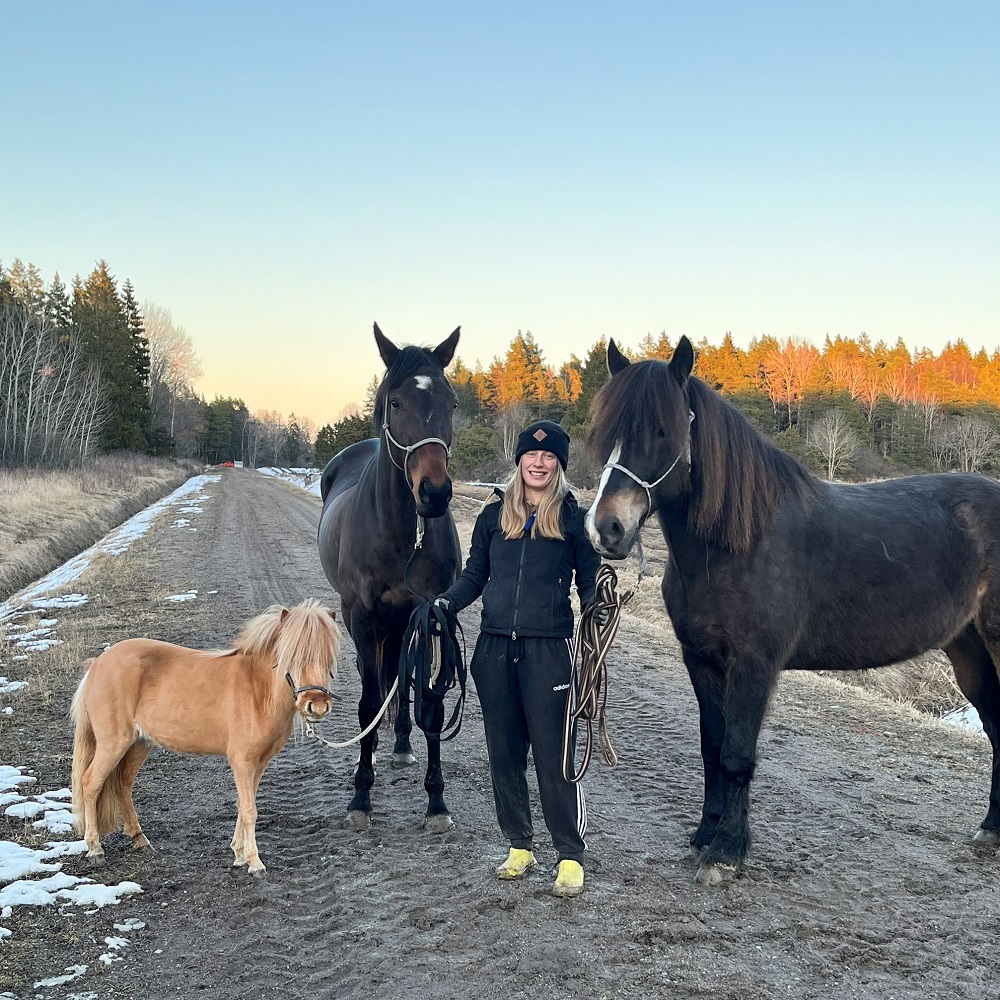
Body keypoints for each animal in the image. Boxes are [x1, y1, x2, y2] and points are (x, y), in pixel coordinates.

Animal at [71, 596, 340, 872]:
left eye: (329, 656)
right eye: (293, 655)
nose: (317, 706)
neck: (258, 689)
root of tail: (97, 664)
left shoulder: (260, 762)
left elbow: (244, 806)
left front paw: (239, 853)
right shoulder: (242, 761)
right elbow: (250, 809)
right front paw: (254, 863)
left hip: (139, 744)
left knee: (123, 784)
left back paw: (139, 839)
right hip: (113, 743)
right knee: (90, 783)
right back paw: (95, 848)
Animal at [318, 324, 462, 832]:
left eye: (451, 402)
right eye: (395, 402)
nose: (434, 493)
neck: (402, 533)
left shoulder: (433, 612)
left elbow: (431, 704)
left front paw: (437, 802)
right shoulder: (361, 615)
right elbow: (368, 697)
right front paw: (361, 794)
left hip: (404, 620)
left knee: (400, 676)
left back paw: (399, 743)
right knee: (377, 679)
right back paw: (377, 745)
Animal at [584, 336, 1000, 884]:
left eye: (662, 430)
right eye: (607, 432)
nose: (606, 528)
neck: (738, 544)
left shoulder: (753, 664)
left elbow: (737, 754)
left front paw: (727, 852)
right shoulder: (701, 658)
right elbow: (712, 748)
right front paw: (704, 837)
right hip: (969, 652)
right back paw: (990, 831)